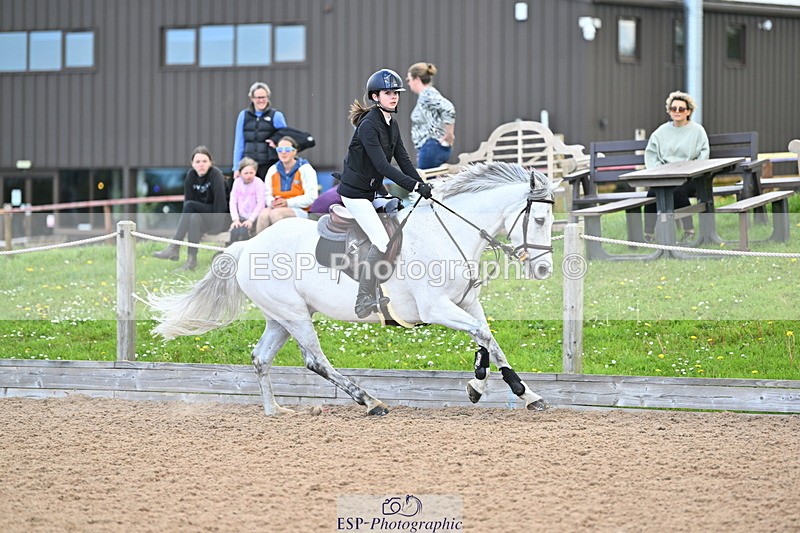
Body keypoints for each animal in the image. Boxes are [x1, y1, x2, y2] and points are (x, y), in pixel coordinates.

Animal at [149, 162, 561, 416]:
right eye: (539, 219)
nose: (543, 269)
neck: (447, 232)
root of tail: (247, 245)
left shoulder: (466, 302)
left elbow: (489, 338)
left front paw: (522, 393)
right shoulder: (437, 308)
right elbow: (482, 336)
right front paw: (481, 386)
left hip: (281, 317)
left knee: (261, 358)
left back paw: (274, 410)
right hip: (295, 316)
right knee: (315, 361)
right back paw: (370, 401)